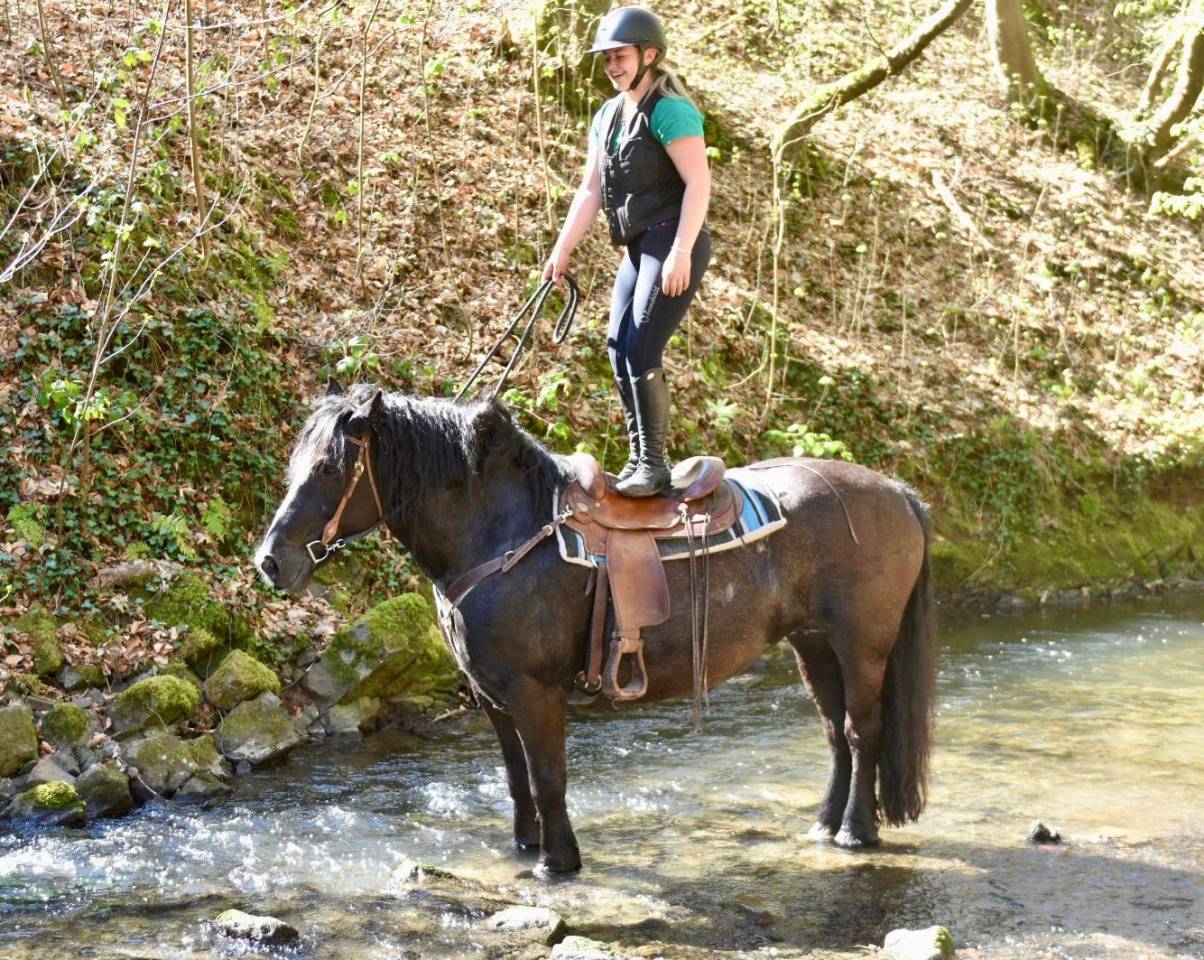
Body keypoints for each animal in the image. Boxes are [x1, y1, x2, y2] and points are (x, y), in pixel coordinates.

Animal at [254, 383, 936, 874]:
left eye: (327, 470)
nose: (269, 561)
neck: (502, 532)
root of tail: (898, 491)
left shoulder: (535, 691)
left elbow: (548, 775)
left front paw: (557, 862)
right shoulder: (491, 695)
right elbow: (516, 776)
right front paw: (526, 848)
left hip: (862, 647)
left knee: (863, 731)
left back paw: (856, 832)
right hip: (812, 645)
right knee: (835, 733)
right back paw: (825, 823)